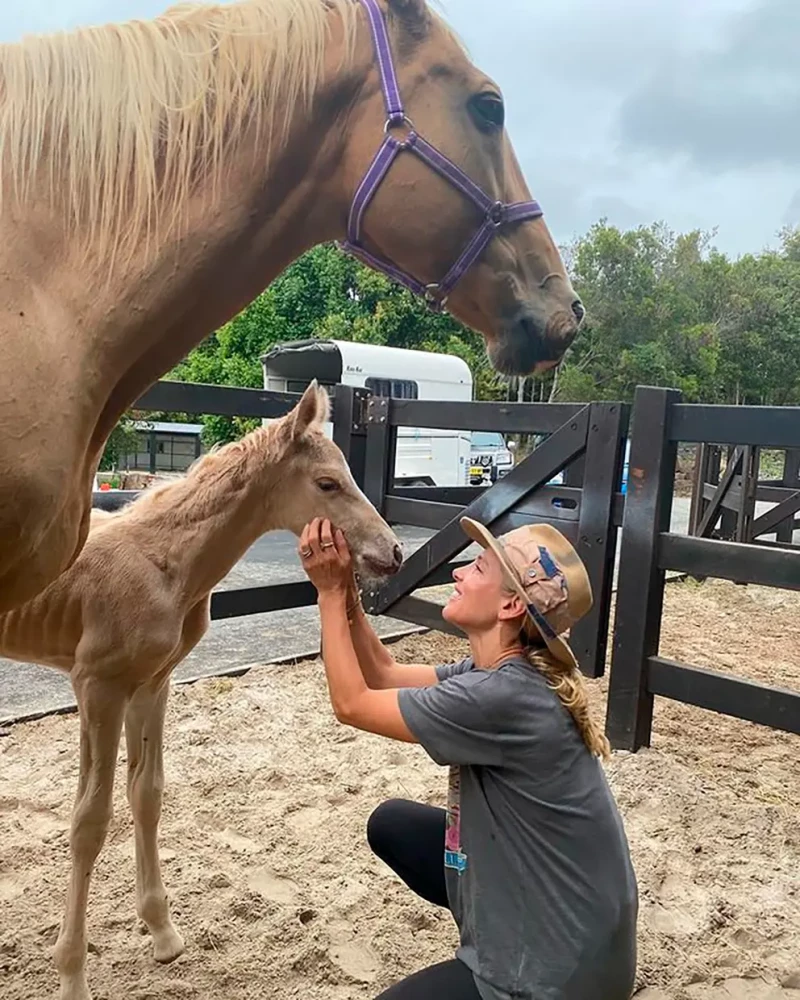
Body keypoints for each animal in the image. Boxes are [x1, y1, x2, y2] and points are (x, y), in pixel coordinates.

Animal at [0, 386, 404, 1000]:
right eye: (327, 483)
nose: (394, 552)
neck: (164, 562)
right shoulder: (97, 686)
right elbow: (89, 822)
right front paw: (71, 975)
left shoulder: (151, 683)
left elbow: (146, 794)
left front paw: (162, 933)